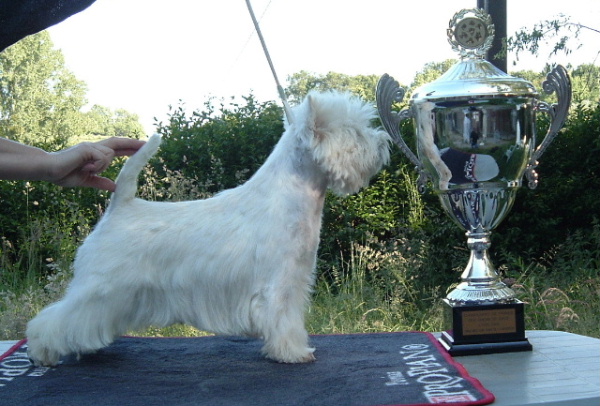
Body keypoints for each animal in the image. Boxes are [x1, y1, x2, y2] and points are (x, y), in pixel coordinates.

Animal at [27, 90, 394, 366]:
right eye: (355, 132)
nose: (383, 142)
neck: (294, 193)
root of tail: (121, 206)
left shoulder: (297, 279)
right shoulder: (279, 284)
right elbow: (283, 319)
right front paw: (292, 353)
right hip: (100, 287)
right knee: (56, 318)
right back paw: (43, 352)